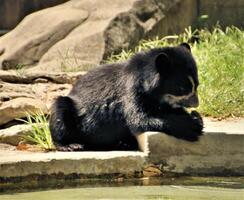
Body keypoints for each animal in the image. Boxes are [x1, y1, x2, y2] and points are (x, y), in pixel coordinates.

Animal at [49, 43, 202, 151]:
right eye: (182, 89)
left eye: (197, 85)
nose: (196, 104)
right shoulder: (131, 91)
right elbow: (138, 118)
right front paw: (189, 126)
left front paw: (195, 118)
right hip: (70, 109)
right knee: (60, 110)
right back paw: (70, 145)